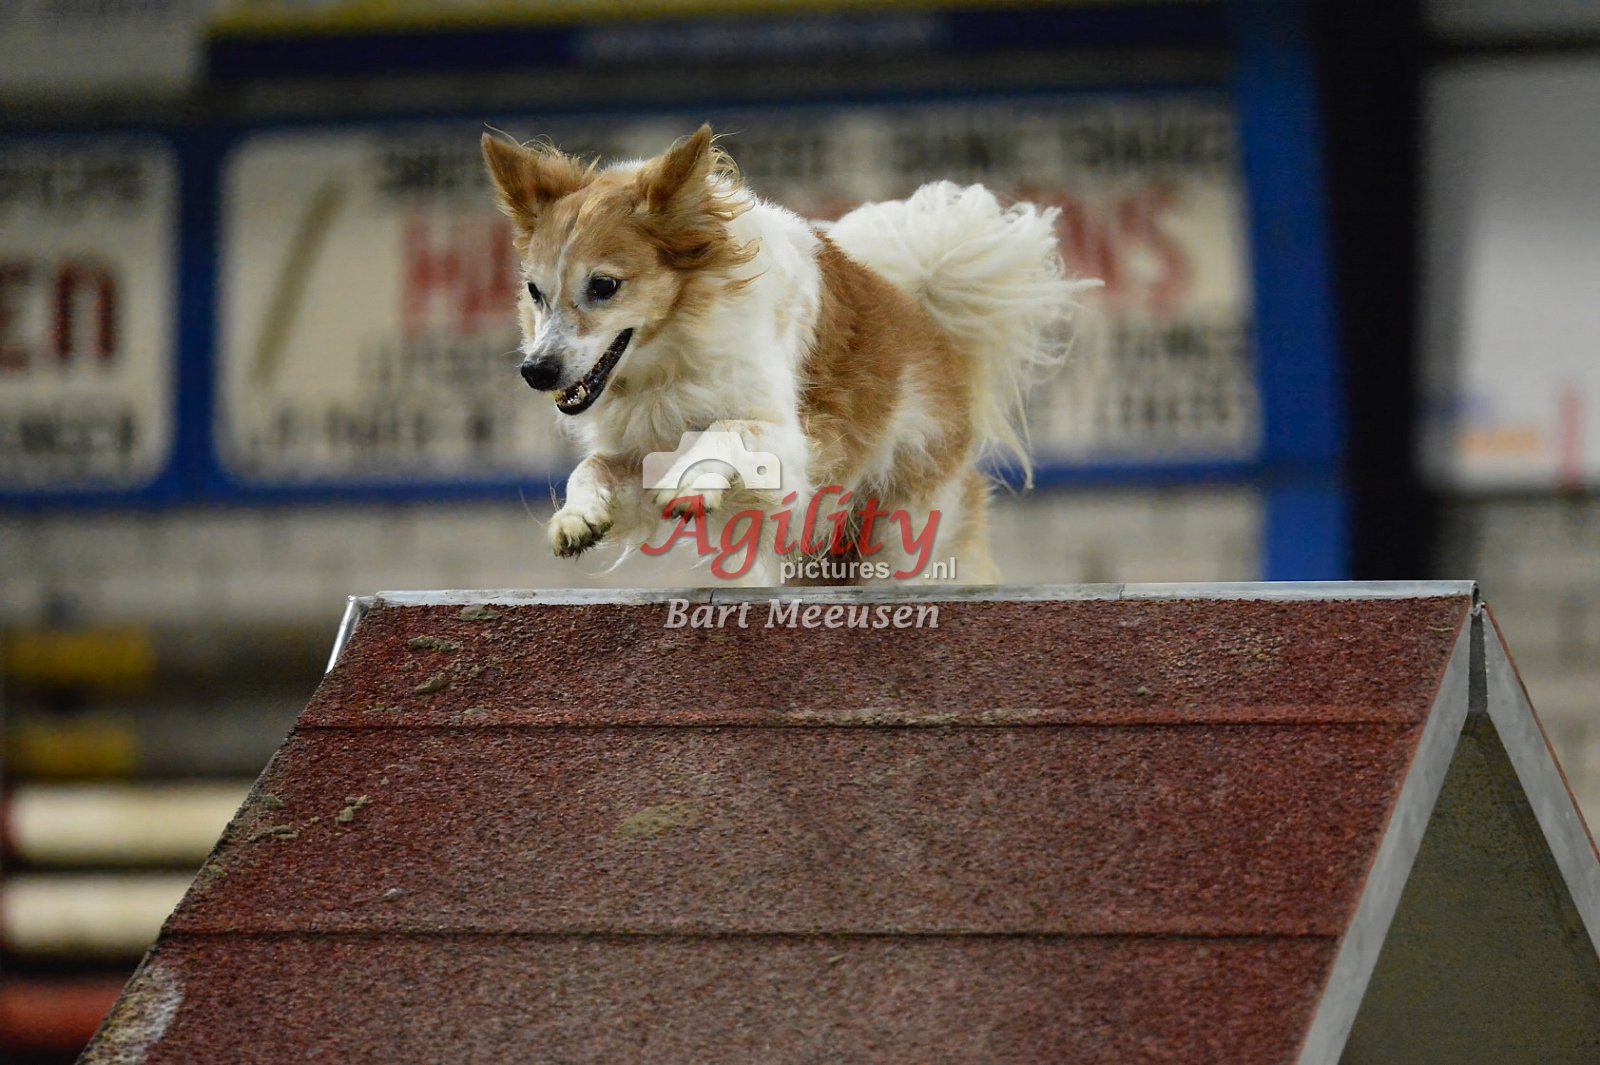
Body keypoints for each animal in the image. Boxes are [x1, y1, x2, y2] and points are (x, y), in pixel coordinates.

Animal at [482, 124, 1089, 584]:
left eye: (604, 286)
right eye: (535, 291)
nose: (535, 372)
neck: (673, 353)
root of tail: (927, 323)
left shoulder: (793, 446)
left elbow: (726, 428)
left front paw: (692, 482)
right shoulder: (640, 445)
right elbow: (593, 465)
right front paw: (578, 515)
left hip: (901, 533)